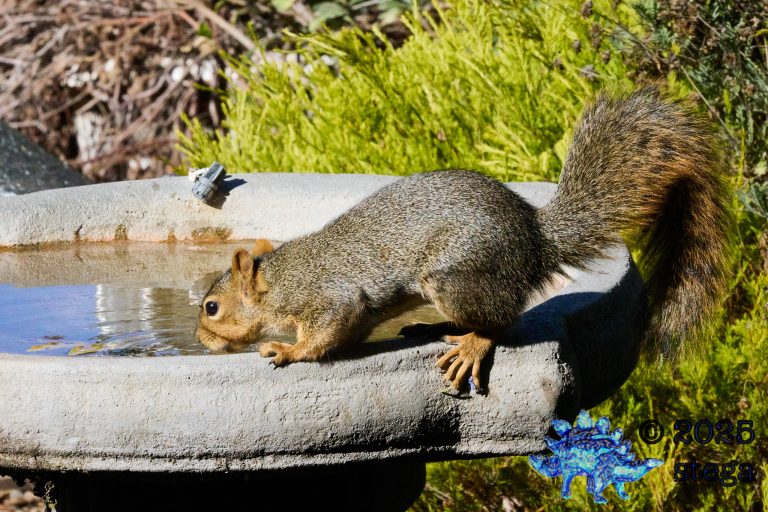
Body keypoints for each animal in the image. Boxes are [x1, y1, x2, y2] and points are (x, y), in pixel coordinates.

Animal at [195, 85, 732, 392]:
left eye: (212, 308)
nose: (200, 340)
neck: (278, 282)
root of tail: (534, 241)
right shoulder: (353, 317)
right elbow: (348, 336)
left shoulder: (327, 298)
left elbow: (322, 336)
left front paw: (286, 351)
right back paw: (430, 328)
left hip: (455, 277)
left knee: (501, 319)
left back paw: (471, 345)